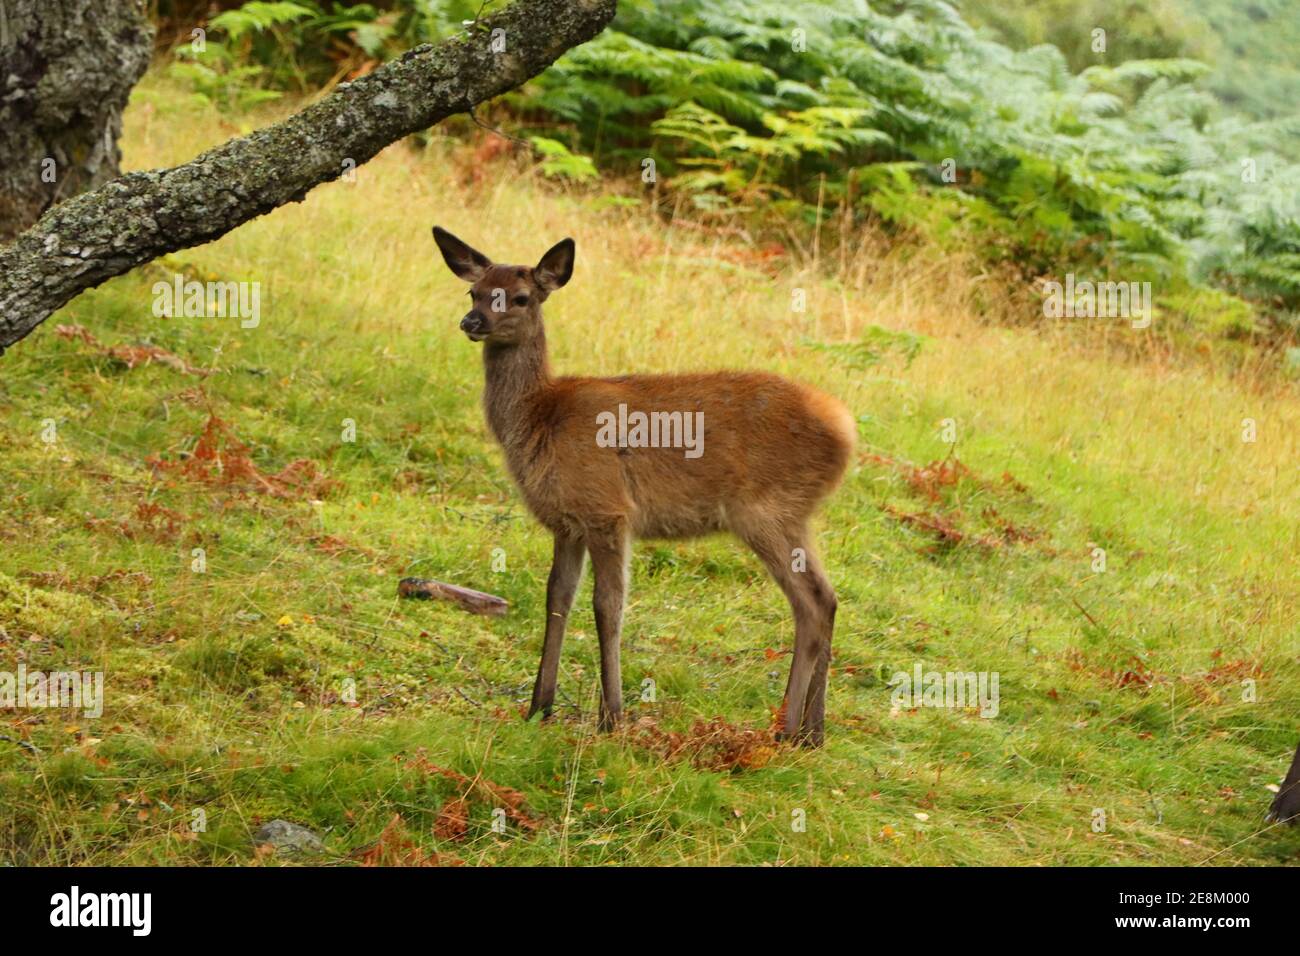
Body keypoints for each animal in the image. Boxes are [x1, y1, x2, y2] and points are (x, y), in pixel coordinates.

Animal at [432, 226, 856, 745]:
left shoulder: (608, 510)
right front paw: (539, 706)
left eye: (520, 297)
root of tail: (845, 431)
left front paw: (610, 717)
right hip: (795, 515)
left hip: (766, 510)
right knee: (829, 598)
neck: (539, 417)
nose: (471, 321)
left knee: (811, 603)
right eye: (473, 290)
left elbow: (607, 607)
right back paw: (813, 732)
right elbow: (557, 599)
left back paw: (786, 729)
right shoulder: (567, 523)